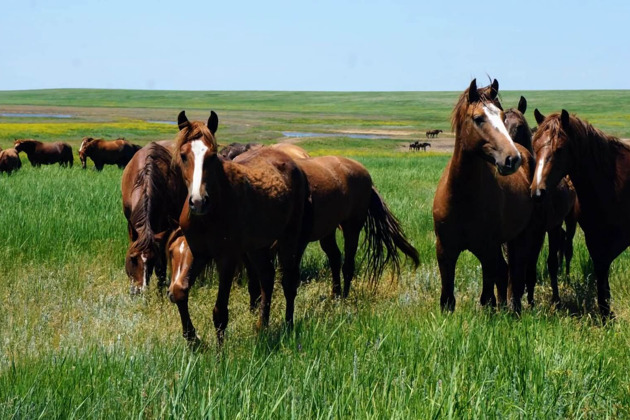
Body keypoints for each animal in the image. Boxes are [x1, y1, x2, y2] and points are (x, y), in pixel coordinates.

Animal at [168, 111, 312, 344]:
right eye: (183, 155)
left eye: (212, 155)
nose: (198, 202)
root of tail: (294, 163)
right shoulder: (199, 253)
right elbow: (180, 291)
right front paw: (193, 340)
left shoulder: (227, 259)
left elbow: (220, 312)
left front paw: (220, 351)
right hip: (256, 247)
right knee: (267, 277)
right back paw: (262, 327)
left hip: (289, 237)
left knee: (288, 282)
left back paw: (288, 326)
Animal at [434, 80, 540, 314]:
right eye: (478, 118)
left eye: (501, 116)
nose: (512, 159)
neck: (462, 197)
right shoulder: (445, 250)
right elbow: (447, 298)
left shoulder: (487, 249)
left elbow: (488, 296)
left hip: (523, 235)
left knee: (516, 272)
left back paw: (514, 308)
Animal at [502, 97, 580, 304]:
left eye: (520, 126)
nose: (508, 159)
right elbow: (513, 265)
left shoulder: (539, 231)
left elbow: (532, 265)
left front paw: (535, 300)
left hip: (568, 220)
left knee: (566, 247)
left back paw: (563, 282)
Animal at [532, 109, 630, 318]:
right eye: (535, 147)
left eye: (560, 149)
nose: (537, 192)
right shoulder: (595, 239)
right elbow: (602, 280)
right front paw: (605, 315)